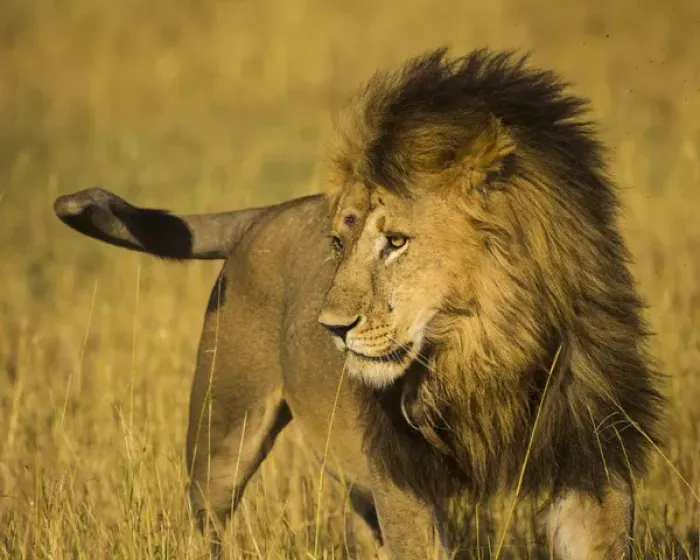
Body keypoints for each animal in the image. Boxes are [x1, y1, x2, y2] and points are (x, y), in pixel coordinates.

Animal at [53, 48, 664, 559]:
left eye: (395, 242)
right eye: (338, 243)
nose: (331, 327)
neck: (485, 350)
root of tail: (267, 213)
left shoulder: (593, 458)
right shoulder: (402, 480)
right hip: (222, 427)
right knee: (206, 518)